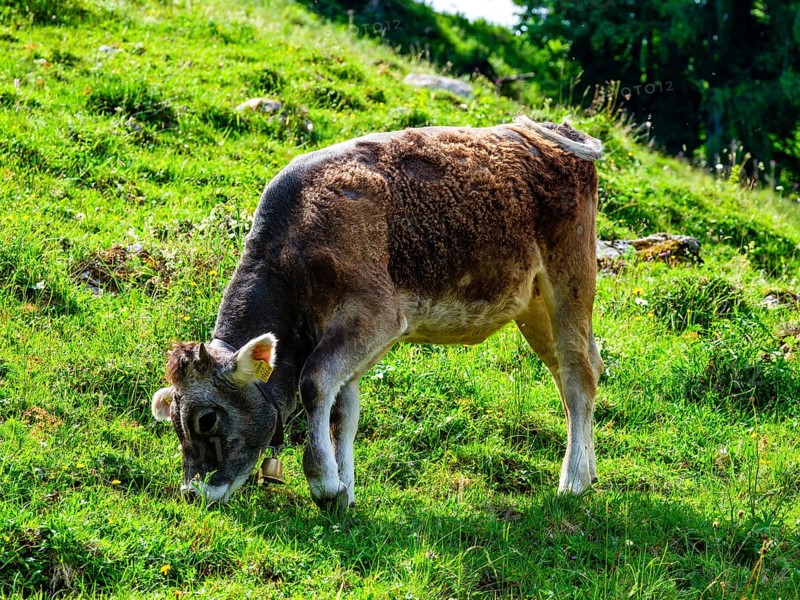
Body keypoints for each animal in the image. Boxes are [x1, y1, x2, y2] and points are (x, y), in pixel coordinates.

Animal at [151, 116, 604, 511]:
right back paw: (588, 468)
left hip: (570, 277)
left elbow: (314, 383)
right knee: (574, 371)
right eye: (172, 423)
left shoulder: (377, 314)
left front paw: (323, 483)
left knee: (578, 373)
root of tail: (557, 130)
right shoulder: (348, 335)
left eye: (206, 419)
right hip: (532, 304)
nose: (192, 493)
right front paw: (345, 489)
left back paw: (574, 481)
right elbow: (343, 410)